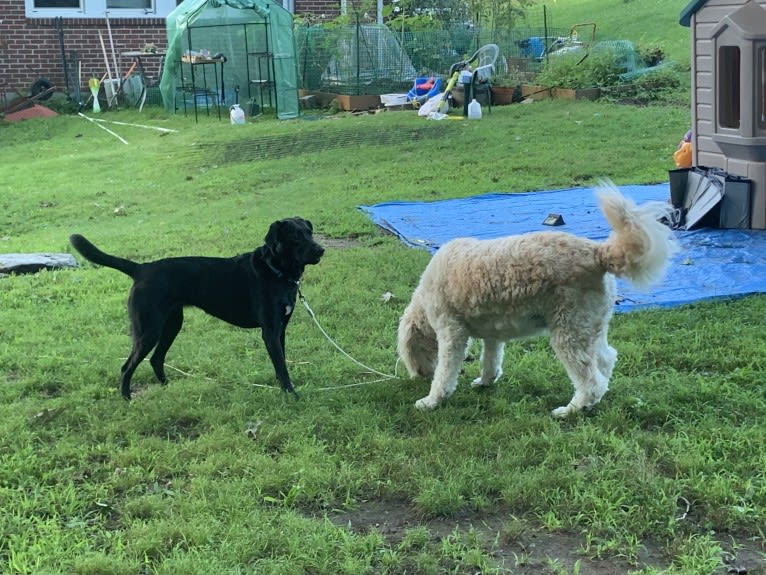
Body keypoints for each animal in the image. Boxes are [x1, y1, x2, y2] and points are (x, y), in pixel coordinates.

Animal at [69, 219, 324, 400]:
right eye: (295, 236)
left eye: (309, 232)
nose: (321, 250)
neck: (276, 271)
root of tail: (141, 269)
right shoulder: (269, 332)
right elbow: (282, 366)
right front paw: (292, 395)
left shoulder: (281, 330)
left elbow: (281, 365)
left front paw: (285, 391)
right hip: (148, 331)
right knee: (127, 366)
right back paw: (127, 398)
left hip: (171, 325)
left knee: (156, 359)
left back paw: (167, 388)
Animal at [396, 181, 680, 418]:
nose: (419, 376)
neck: (424, 300)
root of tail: (598, 251)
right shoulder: (492, 335)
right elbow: (491, 360)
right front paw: (486, 382)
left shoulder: (451, 333)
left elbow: (445, 373)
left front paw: (432, 400)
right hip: (590, 326)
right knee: (606, 361)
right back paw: (596, 400)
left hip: (568, 332)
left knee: (590, 381)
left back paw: (573, 409)